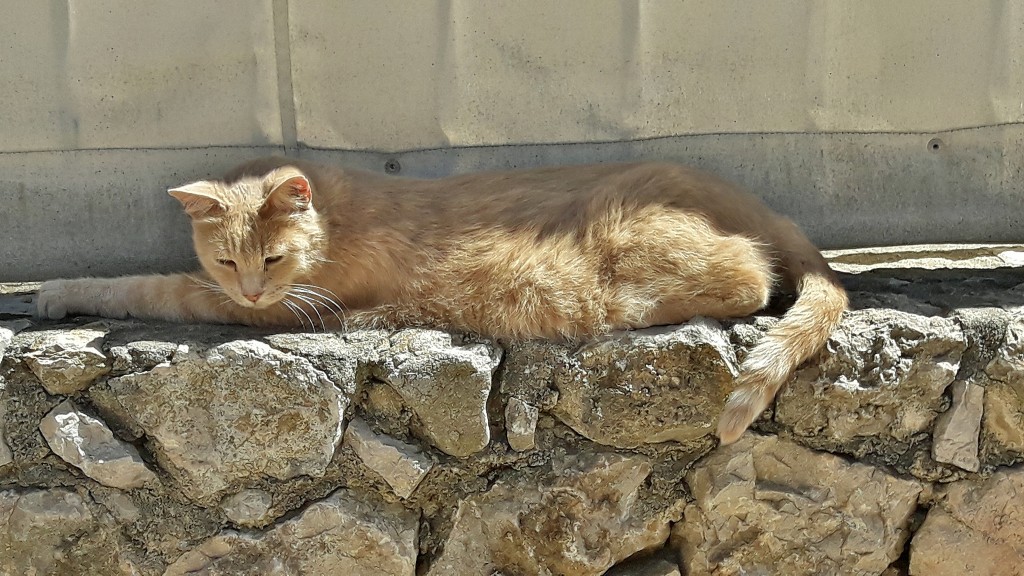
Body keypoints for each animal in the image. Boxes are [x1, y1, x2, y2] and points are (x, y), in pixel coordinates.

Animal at [34, 156, 847, 444]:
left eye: (271, 258)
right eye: (228, 257)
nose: (253, 285)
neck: (334, 217)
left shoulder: (258, 303)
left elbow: (147, 286)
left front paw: (57, 292)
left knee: (750, 280)